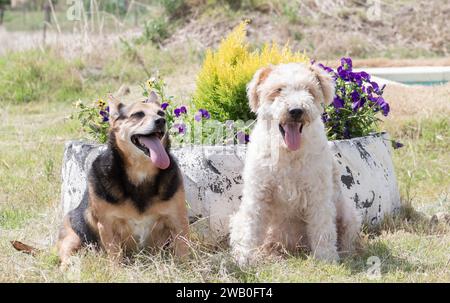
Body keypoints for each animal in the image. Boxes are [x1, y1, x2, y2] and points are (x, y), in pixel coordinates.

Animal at [57, 92, 189, 266]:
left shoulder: (178, 219)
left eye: (161, 113)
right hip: (72, 235)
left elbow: (183, 250)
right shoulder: (107, 225)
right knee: (67, 257)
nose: (161, 121)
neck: (140, 170)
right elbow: (115, 258)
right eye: (138, 114)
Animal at [230, 61, 360, 266]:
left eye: (309, 89)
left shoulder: (318, 194)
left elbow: (322, 228)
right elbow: (250, 229)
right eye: (278, 89)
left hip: (349, 215)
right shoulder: (258, 193)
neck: (288, 153)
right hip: (238, 219)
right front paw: (244, 259)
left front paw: (326, 259)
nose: (296, 111)